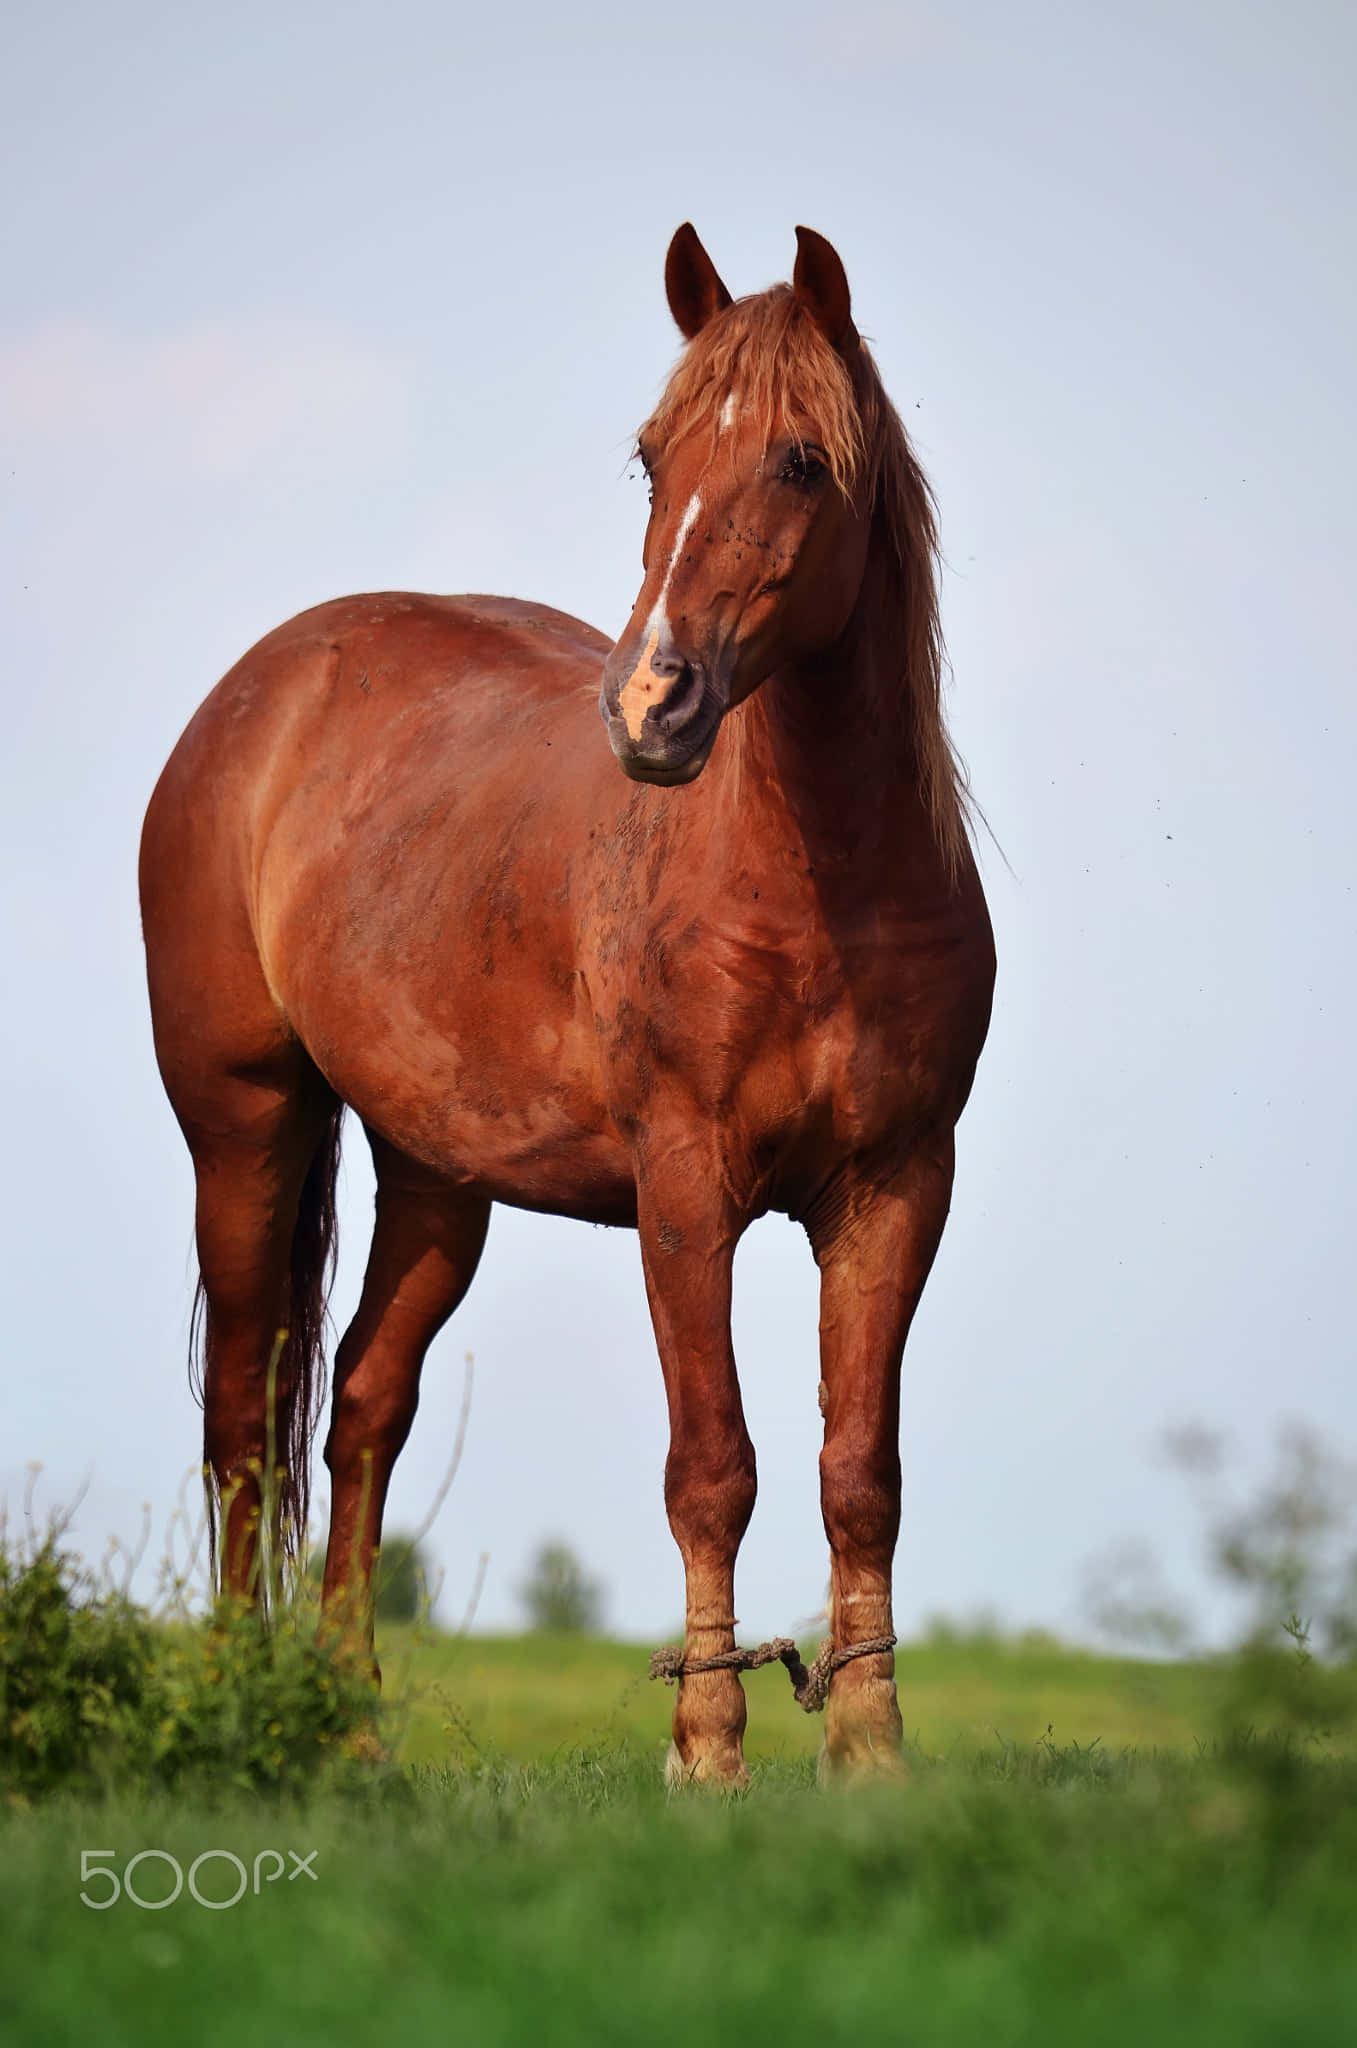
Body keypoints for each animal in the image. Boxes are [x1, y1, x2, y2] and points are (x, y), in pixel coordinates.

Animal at [139, 224, 995, 1784]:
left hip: (436, 1176)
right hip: (242, 1123)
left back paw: (352, 1729)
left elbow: (860, 1472)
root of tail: (258, 691)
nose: (650, 707)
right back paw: (239, 1708)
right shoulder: (684, 1188)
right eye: (653, 457)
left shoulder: (898, 1186)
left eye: (801, 460)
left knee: (361, 1411)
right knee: (242, 1413)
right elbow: (713, 1465)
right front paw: (706, 1750)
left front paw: (869, 1754)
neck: (816, 881)